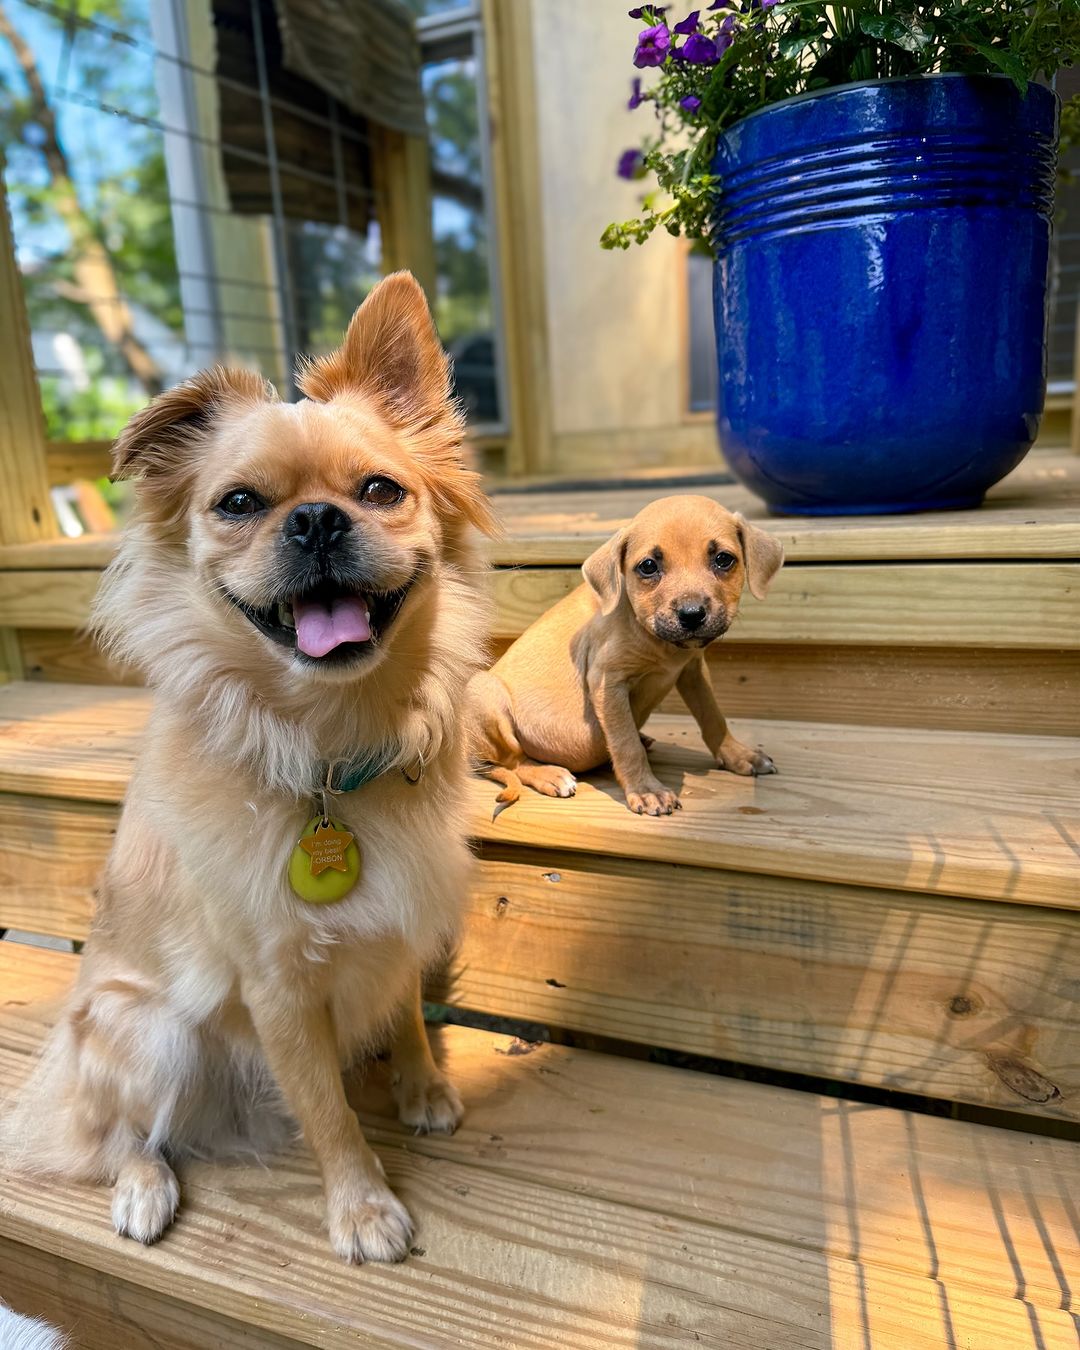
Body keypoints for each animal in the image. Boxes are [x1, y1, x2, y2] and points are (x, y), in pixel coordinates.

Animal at [0, 271, 496, 1263]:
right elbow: (327, 1111)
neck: (332, 747)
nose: (314, 520)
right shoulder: (278, 990)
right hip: (146, 1031)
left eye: (380, 490)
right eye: (237, 504)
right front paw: (361, 1205)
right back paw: (143, 1188)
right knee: (121, 1135)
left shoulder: (404, 926)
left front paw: (421, 1087)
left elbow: (406, 1012)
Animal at [467, 494, 783, 810]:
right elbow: (625, 742)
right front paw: (646, 789)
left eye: (723, 559)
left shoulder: (693, 671)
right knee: (514, 761)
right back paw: (550, 774)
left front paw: (738, 755)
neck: (657, 640)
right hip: (484, 692)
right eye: (648, 566)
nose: (691, 614)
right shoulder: (608, 682)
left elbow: (713, 716)